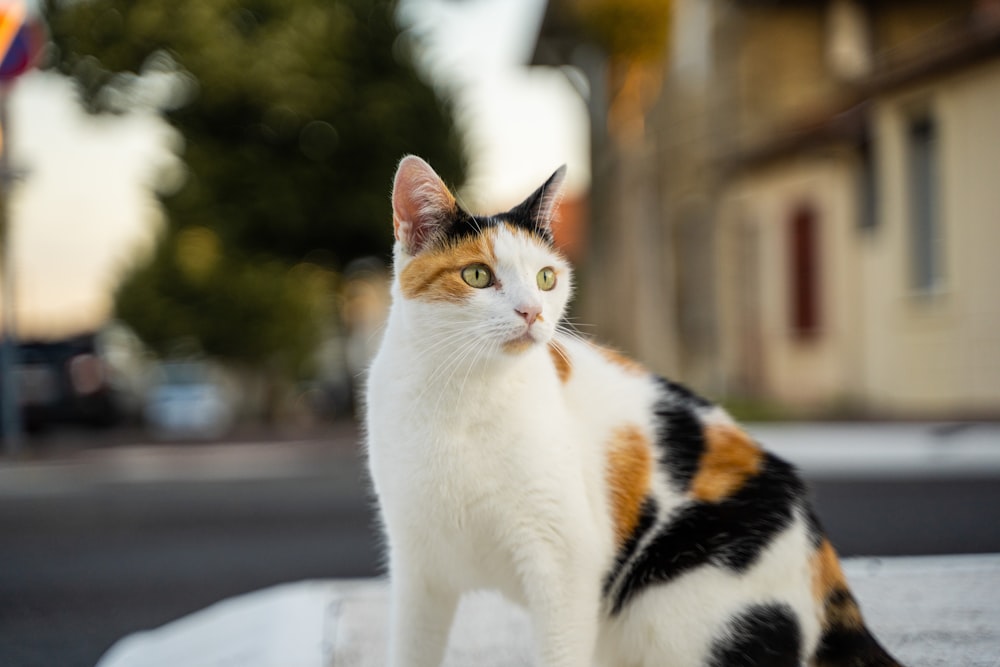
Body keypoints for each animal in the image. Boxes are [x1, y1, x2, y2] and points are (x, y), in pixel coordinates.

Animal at [368, 154, 908, 664]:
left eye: (546, 278)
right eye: (477, 275)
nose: (533, 312)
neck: (461, 396)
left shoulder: (566, 563)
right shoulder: (418, 569)